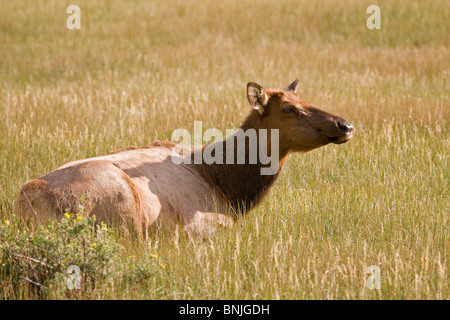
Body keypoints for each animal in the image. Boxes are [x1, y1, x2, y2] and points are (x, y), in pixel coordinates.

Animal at [13, 80, 352, 238]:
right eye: (289, 109)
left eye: (304, 98)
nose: (344, 124)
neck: (231, 188)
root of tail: (29, 202)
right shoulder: (208, 227)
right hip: (125, 210)